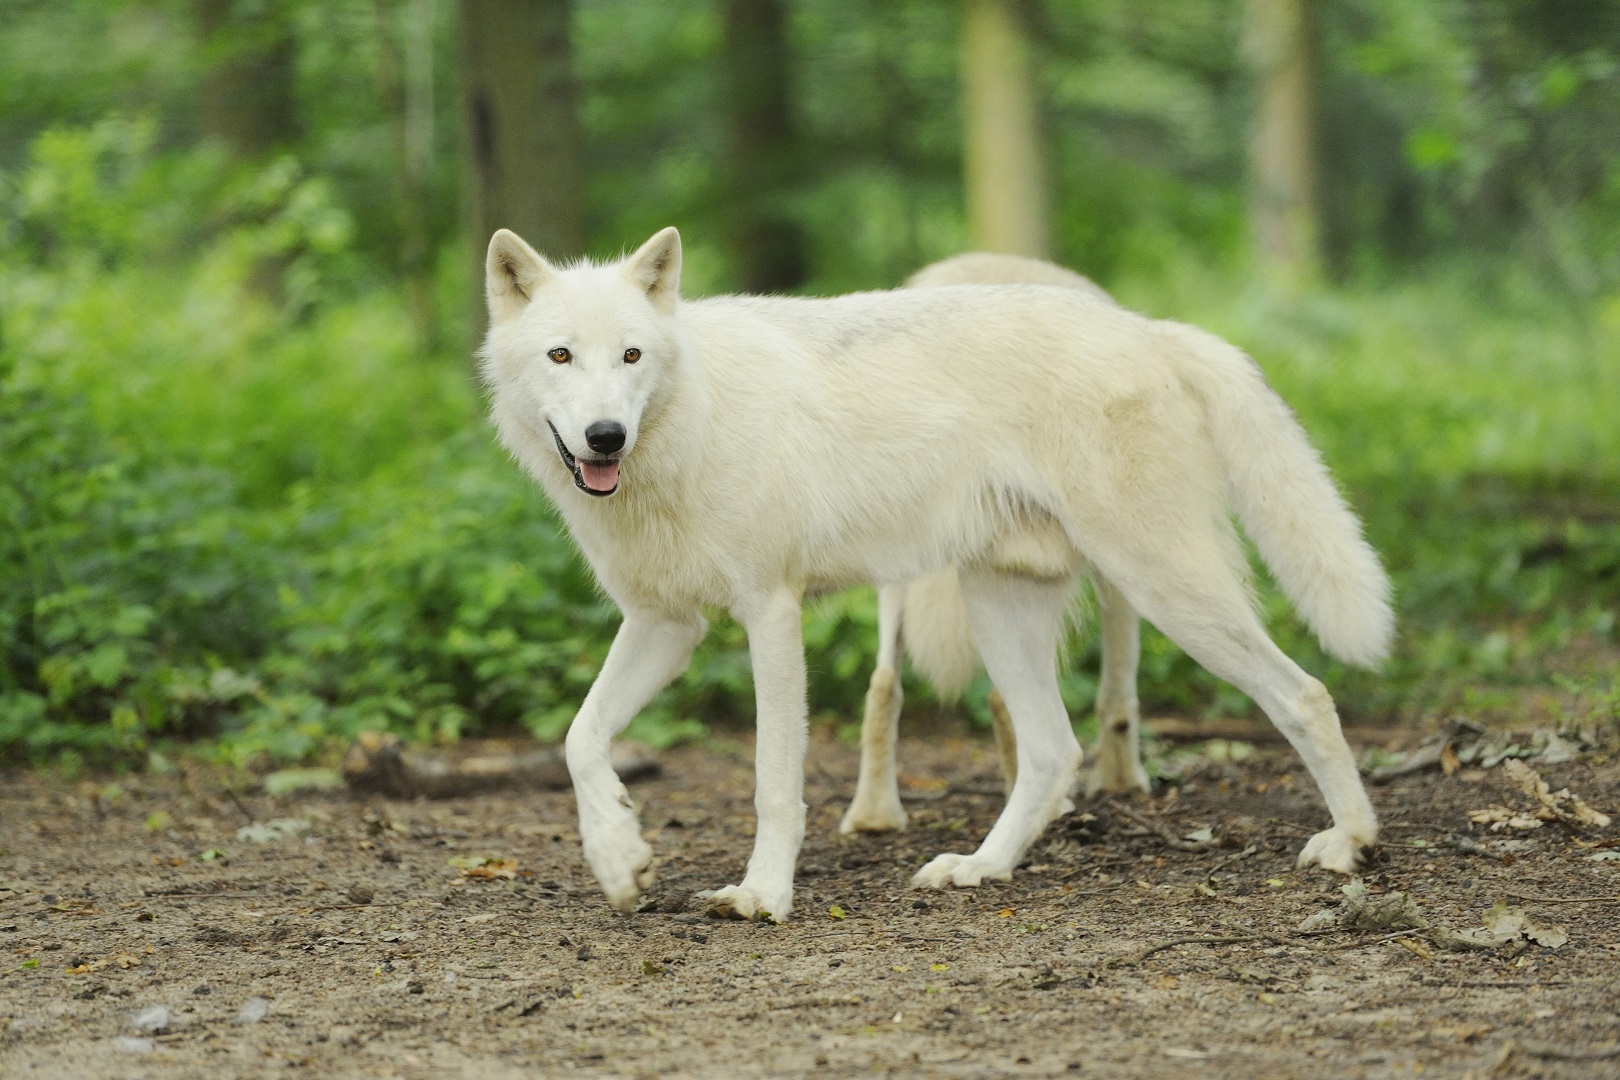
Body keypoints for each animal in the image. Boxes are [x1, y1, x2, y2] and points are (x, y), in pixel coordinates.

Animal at [476, 226, 1393, 919]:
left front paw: (763, 895)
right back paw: (980, 868)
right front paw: (619, 860)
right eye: (561, 355)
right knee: (1053, 752)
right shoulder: (667, 626)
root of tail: (1149, 327)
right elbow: (579, 738)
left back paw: (1350, 843)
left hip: (1164, 587)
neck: (686, 428)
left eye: (632, 356)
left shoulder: (769, 612)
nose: (604, 437)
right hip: (1002, 608)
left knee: (1305, 695)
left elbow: (774, 782)